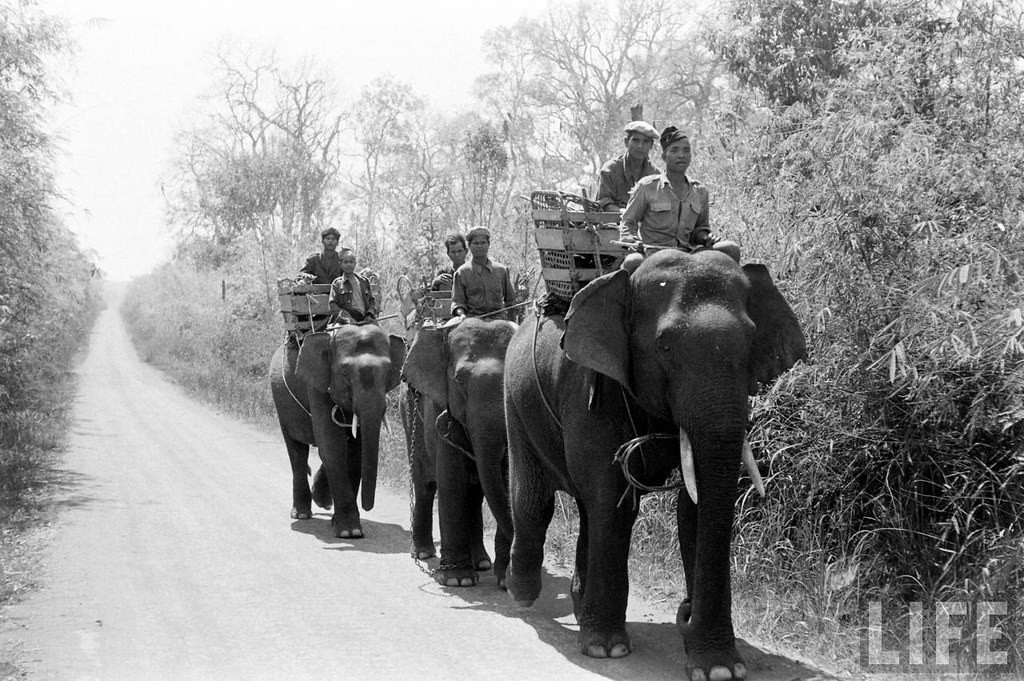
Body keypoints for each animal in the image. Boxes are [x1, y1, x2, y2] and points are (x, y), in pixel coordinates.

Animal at [270, 323, 405, 536]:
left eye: (390, 370)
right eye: (344, 372)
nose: (368, 507)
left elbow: (355, 451)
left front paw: (341, 523)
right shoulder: (316, 385)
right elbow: (332, 445)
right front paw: (350, 532)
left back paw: (322, 502)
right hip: (280, 402)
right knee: (297, 452)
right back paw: (301, 514)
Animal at [401, 315, 516, 585]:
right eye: (459, 381)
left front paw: (504, 581)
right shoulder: (441, 408)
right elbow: (452, 480)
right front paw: (458, 580)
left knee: (474, 493)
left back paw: (482, 563)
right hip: (409, 416)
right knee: (425, 485)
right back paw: (423, 553)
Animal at [503, 249, 806, 679]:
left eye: (751, 342)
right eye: (664, 346)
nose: (685, 613)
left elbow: (694, 507)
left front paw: (719, 669)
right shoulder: (589, 390)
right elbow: (614, 500)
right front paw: (606, 650)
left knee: (586, 510)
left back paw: (577, 608)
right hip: (516, 403)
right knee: (534, 501)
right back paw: (521, 593)